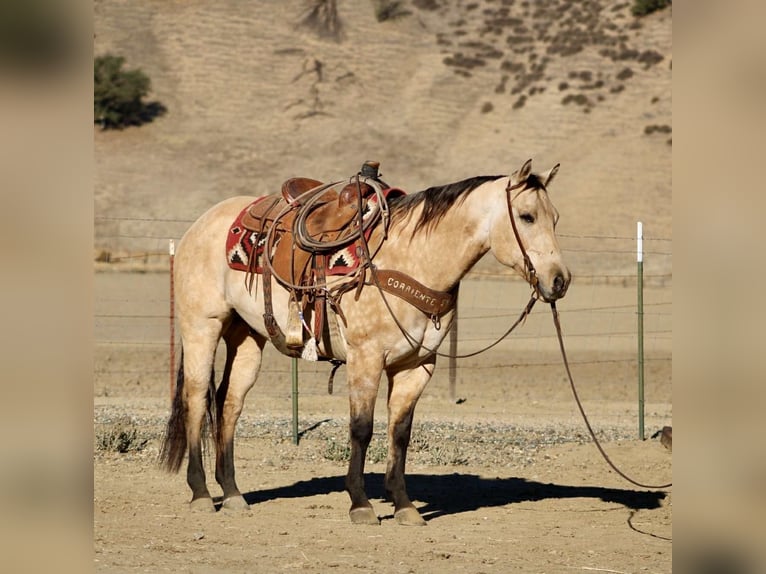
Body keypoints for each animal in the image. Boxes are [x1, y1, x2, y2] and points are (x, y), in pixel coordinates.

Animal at [159, 159, 570, 526]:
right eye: (527, 216)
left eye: (555, 218)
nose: (559, 280)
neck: (412, 259)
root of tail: (200, 225)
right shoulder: (366, 358)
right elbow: (362, 428)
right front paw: (360, 505)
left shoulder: (416, 366)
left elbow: (400, 433)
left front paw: (404, 507)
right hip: (202, 327)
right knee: (196, 397)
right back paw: (201, 493)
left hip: (246, 336)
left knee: (229, 402)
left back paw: (231, 494)